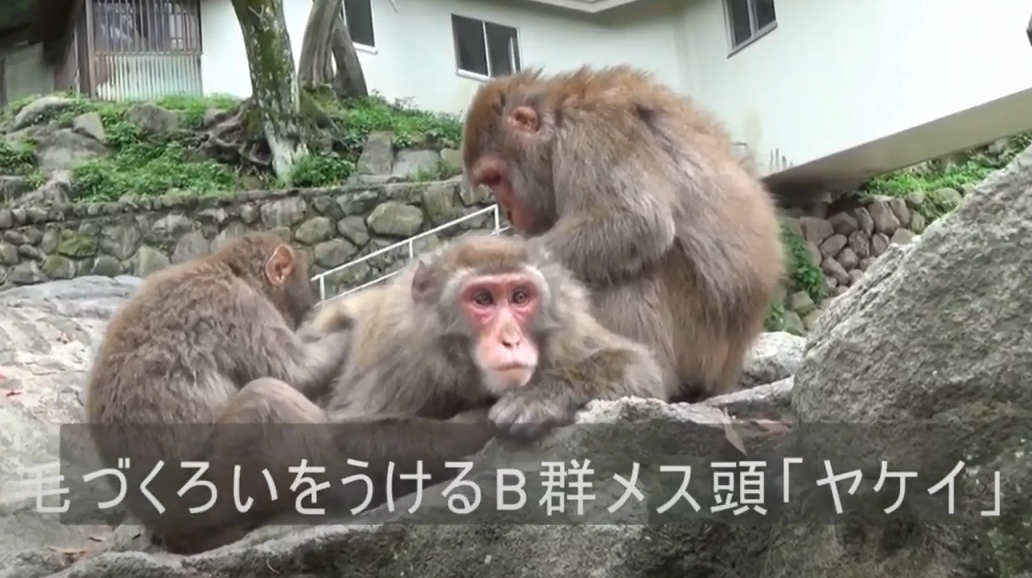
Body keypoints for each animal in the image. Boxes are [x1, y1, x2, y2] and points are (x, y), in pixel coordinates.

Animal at [84, 232, 495, 553]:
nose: (302, 314)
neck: (224, 269)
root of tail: (173, 531)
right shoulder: (239, 308)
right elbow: (294, 374)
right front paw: (348, 325)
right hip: (211, 490)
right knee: (268, 400)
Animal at [305, 232, 664, 439]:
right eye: (482, 299)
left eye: (520, 296)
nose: (511, 340)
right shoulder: (398, 353)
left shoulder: (568, 327)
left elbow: (639, 367)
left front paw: (537, 396)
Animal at [460, 64, 780, 402]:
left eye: (496, 178)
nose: (506, 211)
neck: (557, 125)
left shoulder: (592, 132)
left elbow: (635, 221)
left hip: (702, 341)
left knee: (632, 269)